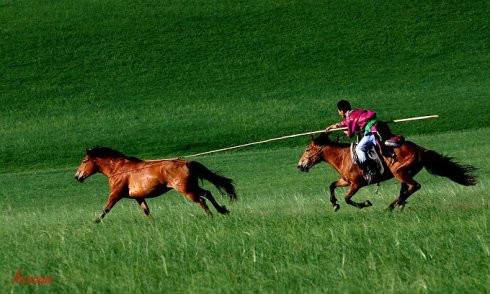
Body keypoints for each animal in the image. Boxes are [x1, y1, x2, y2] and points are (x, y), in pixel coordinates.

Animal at [74, 147, 237, 223]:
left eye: (84, 161)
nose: (77, 176)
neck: (119, 169)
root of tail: (187, 162)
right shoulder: (138, 197)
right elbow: (146, 211)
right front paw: (153, 223)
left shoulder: (115, 195)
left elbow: (105, 209)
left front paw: (94, 223)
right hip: (191, 187)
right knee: (207, 193)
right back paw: (222, 210)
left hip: (186, 190)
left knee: (202, 200)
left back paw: (211, 216)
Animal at [296, 133, 476, 211]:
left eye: (307, 150)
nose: (299, 165)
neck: (343, 157)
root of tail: (420, 150)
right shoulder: (346, 181)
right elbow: (332, 185)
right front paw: (334, 204)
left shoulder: (356, 184)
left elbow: (347, 198)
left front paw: (365, 204)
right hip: (405, 173)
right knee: (407, 188)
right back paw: (396, 204)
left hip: (399, 172)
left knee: (415, 186)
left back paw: (393, 205)